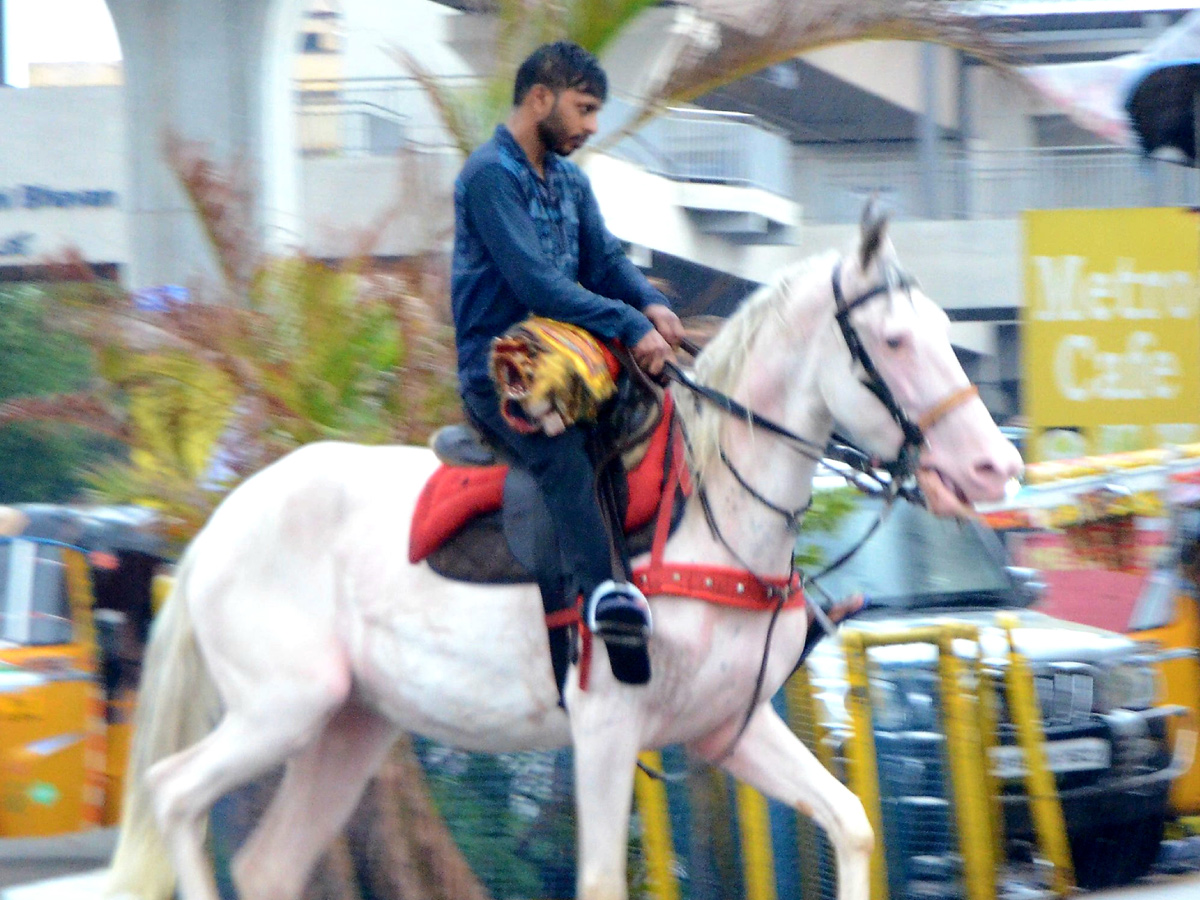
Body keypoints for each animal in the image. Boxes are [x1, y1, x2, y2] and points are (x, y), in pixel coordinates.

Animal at [108, 211, 1022, 900]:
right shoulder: (607, 731)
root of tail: (216, 528)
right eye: (894, 342)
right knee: (174, 794)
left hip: (348, 729)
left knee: (267, 864)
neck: (708, 519)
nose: (995, 467)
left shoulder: (729, 728)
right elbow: (600, 882)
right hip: (283, 709)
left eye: (948, 332)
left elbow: (853, 824)